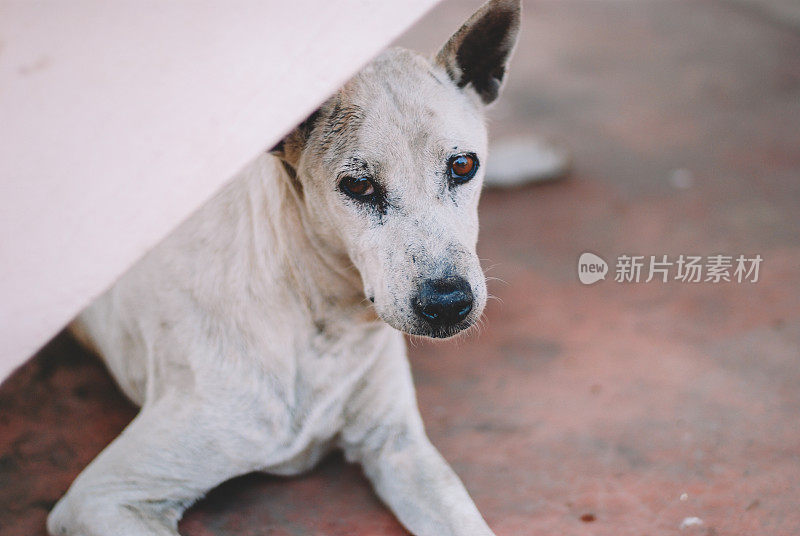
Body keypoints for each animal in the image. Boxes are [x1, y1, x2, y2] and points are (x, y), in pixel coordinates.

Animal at [50, 2, 524, 532]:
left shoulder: (398, 447)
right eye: (358, 186)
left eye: (463, 166)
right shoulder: (105, 497)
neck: (323, 326)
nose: (448, 303)